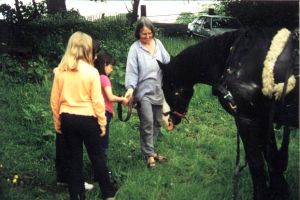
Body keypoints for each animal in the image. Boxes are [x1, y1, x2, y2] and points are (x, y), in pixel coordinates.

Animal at [159, 27, 298, 200]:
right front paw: (279, 190)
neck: (235, 58)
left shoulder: (246, 119)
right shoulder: (263, 119)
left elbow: (255, 162)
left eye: (165, 87)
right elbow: (271, 157)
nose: (166, 121)